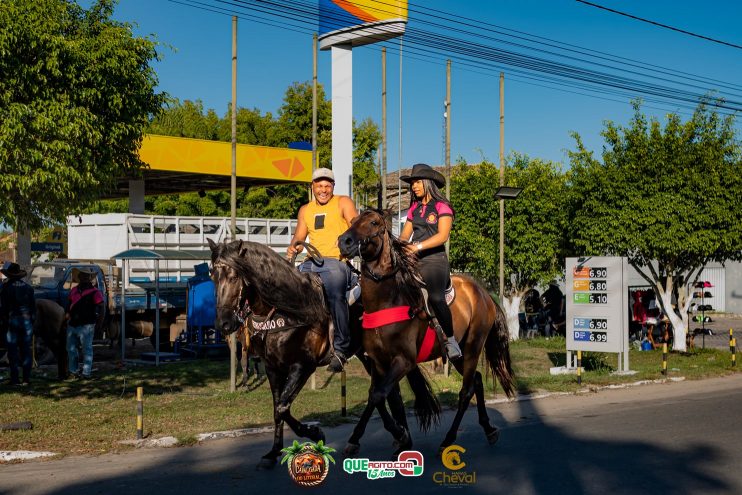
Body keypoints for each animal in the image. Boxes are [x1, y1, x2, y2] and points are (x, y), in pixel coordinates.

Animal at [209, 239, 412, 468]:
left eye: (234, 277)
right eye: (212, 276)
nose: (224, 324)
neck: (286, 307)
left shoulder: (303, 366)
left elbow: (282, 407)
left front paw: (315, 433)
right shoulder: (272, 367)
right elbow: (278, 408)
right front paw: (273, 452)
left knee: (381, 392)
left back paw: (397, 437)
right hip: (368, 355)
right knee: (383, 392)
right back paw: (389, 437)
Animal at [338, 208, 516, 454]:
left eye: (373, 222)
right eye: (353, 221)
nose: (343, 242)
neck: (386, 300)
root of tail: (484, 293)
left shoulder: (404, 361)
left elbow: (379, 395)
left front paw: (391, 435)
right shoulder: (378, 362)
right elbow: (381, 396)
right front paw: (393, 436)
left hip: (472, 347)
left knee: (466, 391)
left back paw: (449, 439)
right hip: (460, 354)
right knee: (477, 381)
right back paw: (488, 429)